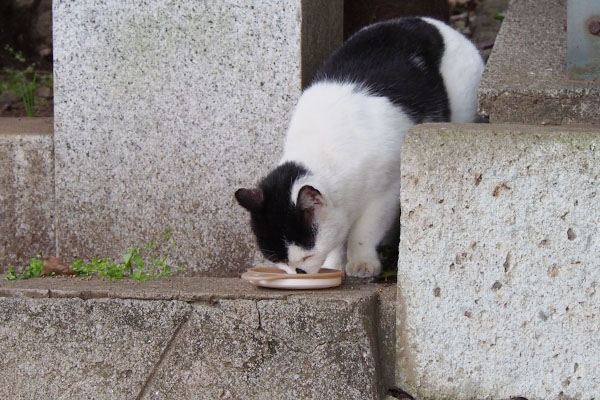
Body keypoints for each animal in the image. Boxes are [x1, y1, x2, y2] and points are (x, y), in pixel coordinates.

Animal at [234, 17, 482, 276]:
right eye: (280, 262)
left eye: (306, 257)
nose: (298, 273)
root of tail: (436, 23)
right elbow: (336, 240)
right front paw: (334, 265)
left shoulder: (385, 192)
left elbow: (364, 232)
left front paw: (362, 263)